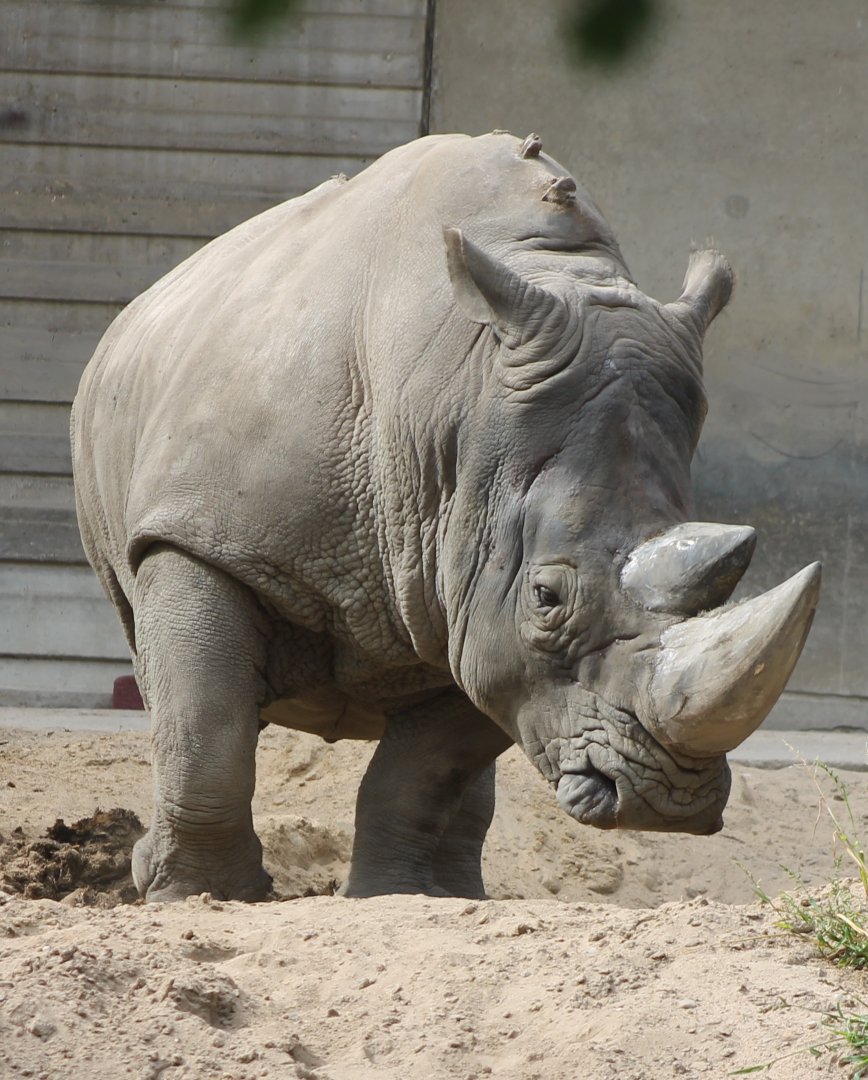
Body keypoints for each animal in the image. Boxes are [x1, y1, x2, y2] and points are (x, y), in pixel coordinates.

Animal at [71, 131, 821, 903]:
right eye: (547, 597)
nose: (667, 802)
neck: (459, 406)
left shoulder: (470, 575)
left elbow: (428, 768)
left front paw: (394, 899)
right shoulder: (204, 538)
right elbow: (206, 726)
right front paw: (203, 897)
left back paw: (459, 894)